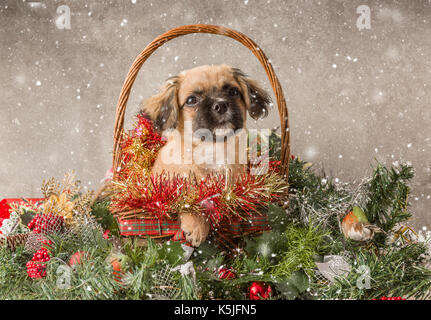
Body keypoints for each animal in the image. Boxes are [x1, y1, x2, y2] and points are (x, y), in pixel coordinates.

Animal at [141, 63, 270, 246]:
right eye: (191, 100)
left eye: (233, 91)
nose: (221, 105)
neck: (213, 147)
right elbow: (190, 199)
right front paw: (197, 226)